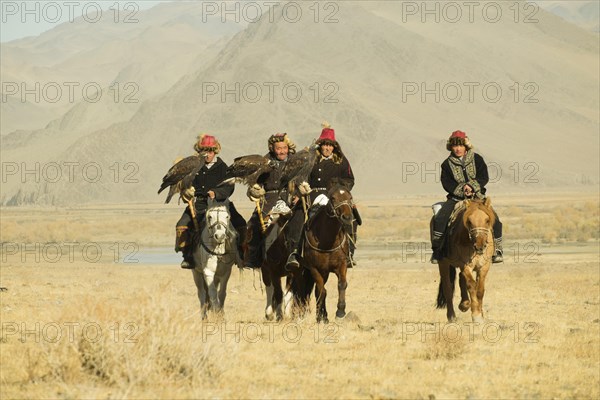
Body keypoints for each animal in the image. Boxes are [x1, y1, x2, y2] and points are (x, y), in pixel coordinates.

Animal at [302, 186, 354, 324]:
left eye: (350, 197)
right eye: (333, 198)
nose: (347, 217)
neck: (327, 241)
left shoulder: (342, 265)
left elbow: (342, 284)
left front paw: (340, 311)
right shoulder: (314, 268)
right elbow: (322, 291)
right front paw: (322, 316)